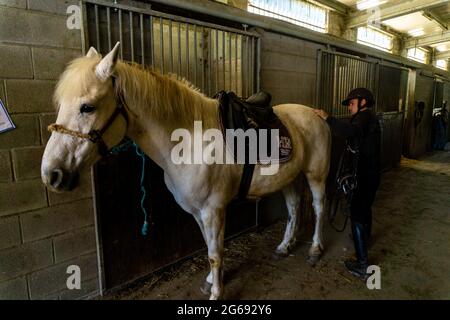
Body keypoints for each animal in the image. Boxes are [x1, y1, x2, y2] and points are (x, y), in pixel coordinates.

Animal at [41, 43, 330, 300]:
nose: (52, 174)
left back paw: (315, 250)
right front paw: (212, 281)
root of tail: (316, 114)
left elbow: (215, 253)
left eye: (87, 107)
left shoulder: (213, 210)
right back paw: (284, 247)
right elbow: (210, 248)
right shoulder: (197, 211)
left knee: (318, 208)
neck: (189, 142)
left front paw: (216, 293)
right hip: (289, 178)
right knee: (293, 208)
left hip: (315, 175)